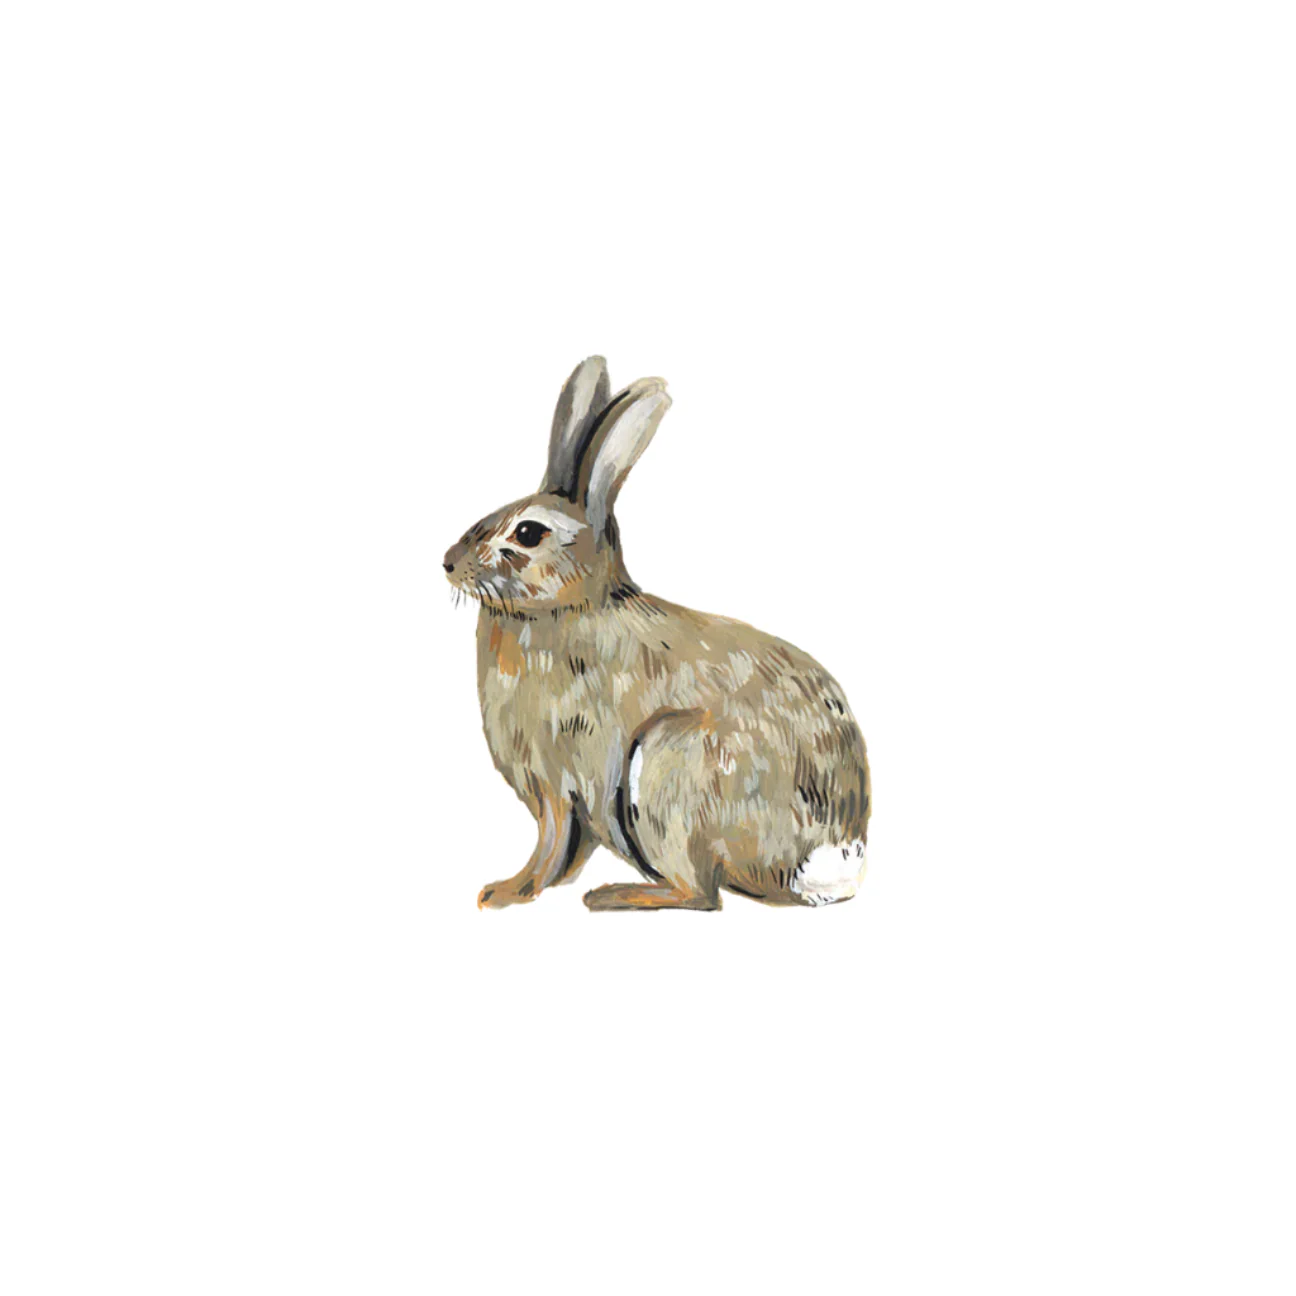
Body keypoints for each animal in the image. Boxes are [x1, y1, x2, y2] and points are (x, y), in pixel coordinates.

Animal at [443, 356, 871, 911]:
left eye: (529, 533)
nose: (448, 563)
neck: (566, 608)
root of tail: (831, 858)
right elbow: (564, 852)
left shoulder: (559, 778)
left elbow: (549, 845)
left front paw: (507, 892)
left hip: (670, 766)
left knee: (701, 893)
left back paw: (616, 896)